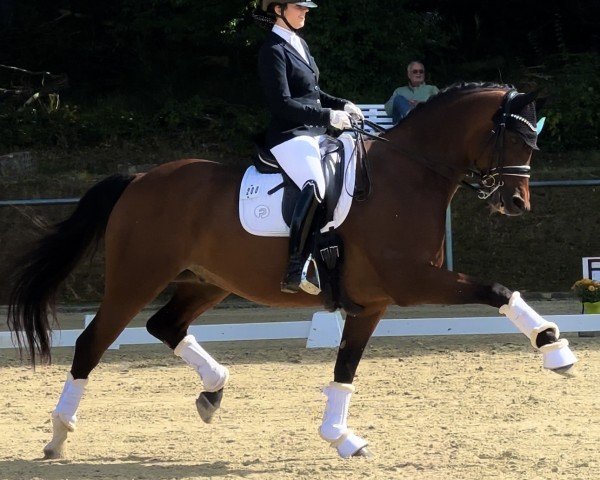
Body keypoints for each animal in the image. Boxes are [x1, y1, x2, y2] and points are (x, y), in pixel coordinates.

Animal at [5, 83, 576, 462]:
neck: (409, 173)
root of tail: (139, 178)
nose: (516, 204)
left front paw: (342, 437)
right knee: (93, 342)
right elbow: (497, 289)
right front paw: (554, 347)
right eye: (515, 141)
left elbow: (346, 368)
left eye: (534, 143)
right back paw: (58, 434)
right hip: (136, 278)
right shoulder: (413, 282)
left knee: (164, 325)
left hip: (207, 281)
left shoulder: (372, 302)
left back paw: (213, 389)